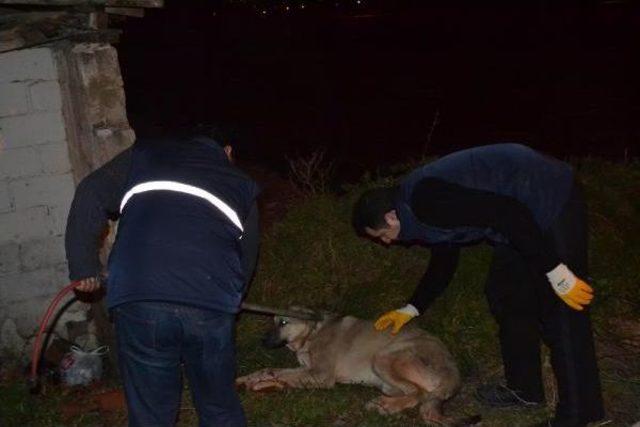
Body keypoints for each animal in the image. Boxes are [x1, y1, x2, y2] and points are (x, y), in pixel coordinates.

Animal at [236, 310, 476, 426]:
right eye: (273, 321)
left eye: (283, 323)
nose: (262, 341)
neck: (312, 333)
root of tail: (454, 372)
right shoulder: (307, 371)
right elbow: (271, 370)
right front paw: (251, 380)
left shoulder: (321, 375)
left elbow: (281, 373)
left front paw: (264, 382)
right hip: (386, 379)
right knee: (416, 396)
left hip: (384, 356)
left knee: (417, 393)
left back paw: (385, 406)